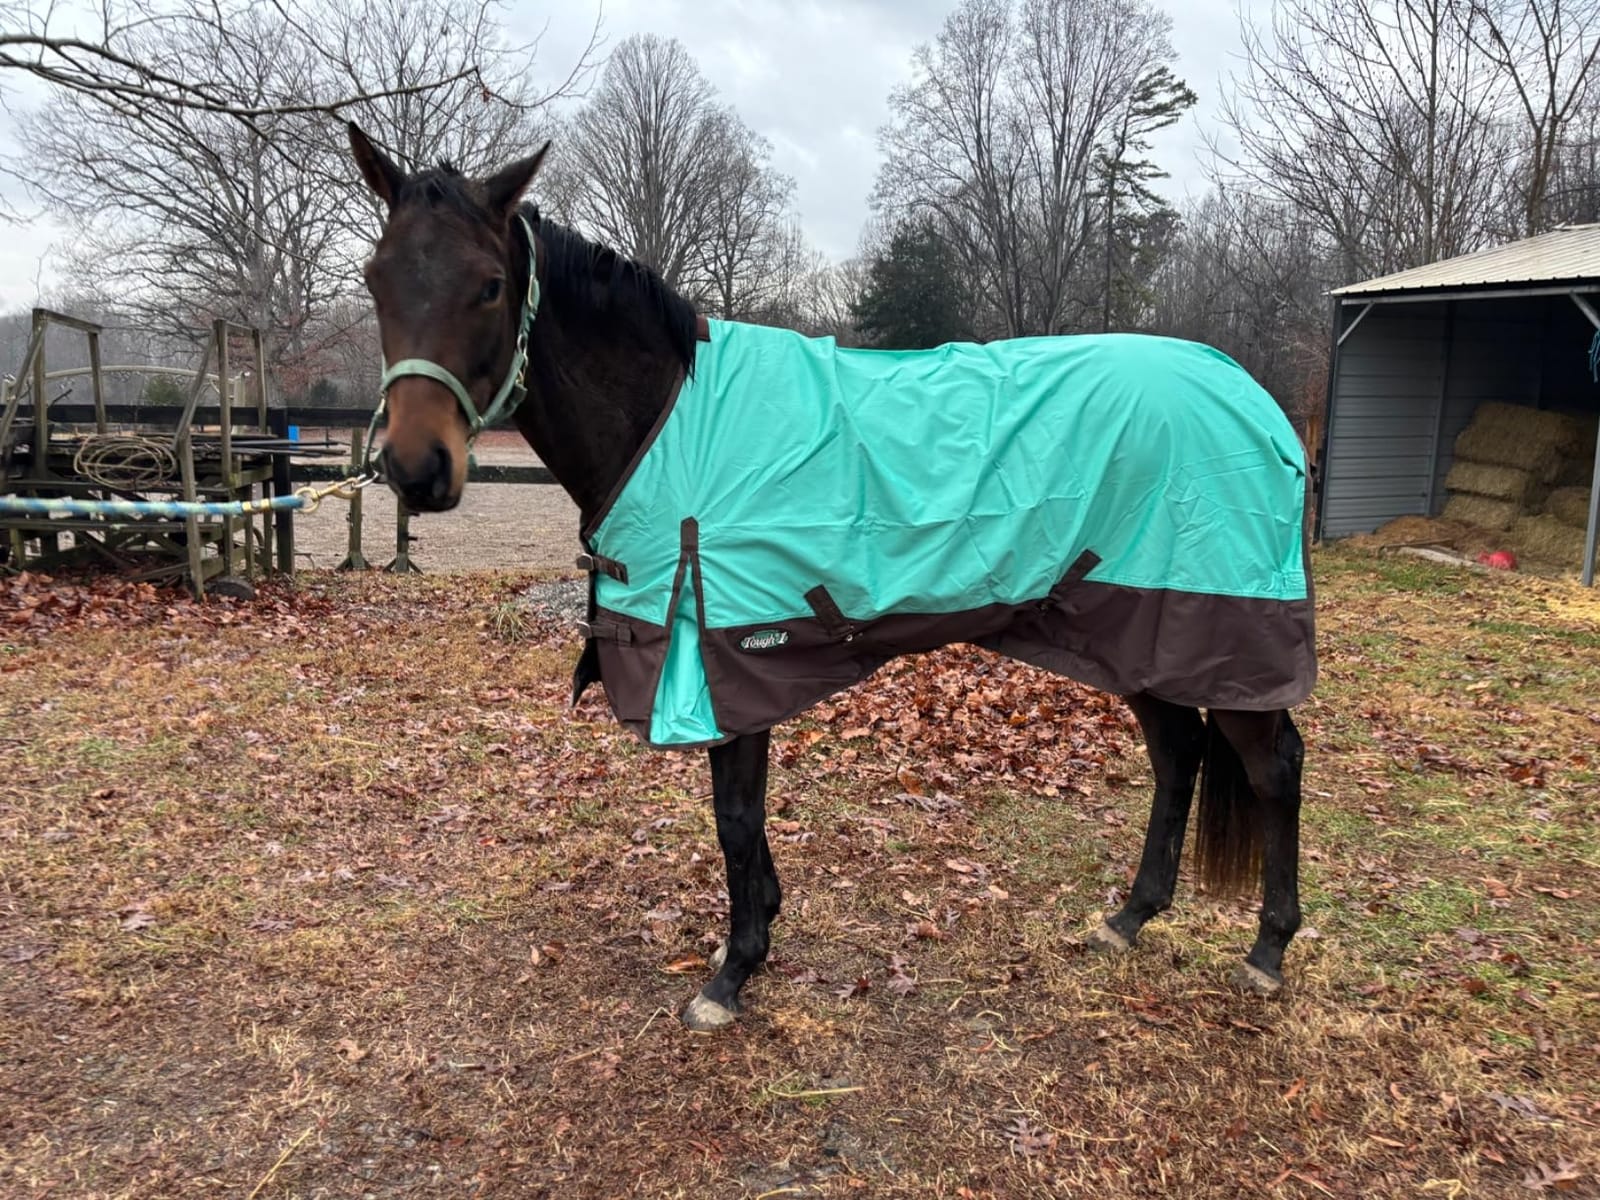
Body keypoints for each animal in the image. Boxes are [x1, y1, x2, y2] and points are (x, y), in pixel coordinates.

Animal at [345, 125, 1314, 1032]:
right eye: (374, 278)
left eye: (489, 285)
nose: (415, 470)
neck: (671, 422)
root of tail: (1254, 401)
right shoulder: (732, 667)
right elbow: (744, 816)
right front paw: (755, 939)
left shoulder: (724, 659)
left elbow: (735, 819)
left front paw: (732, 974)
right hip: (1137, 634)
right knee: (1179, 755)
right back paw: (1130, 919)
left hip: (1221, 628)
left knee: (1273, 766)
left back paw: (1267, 952)